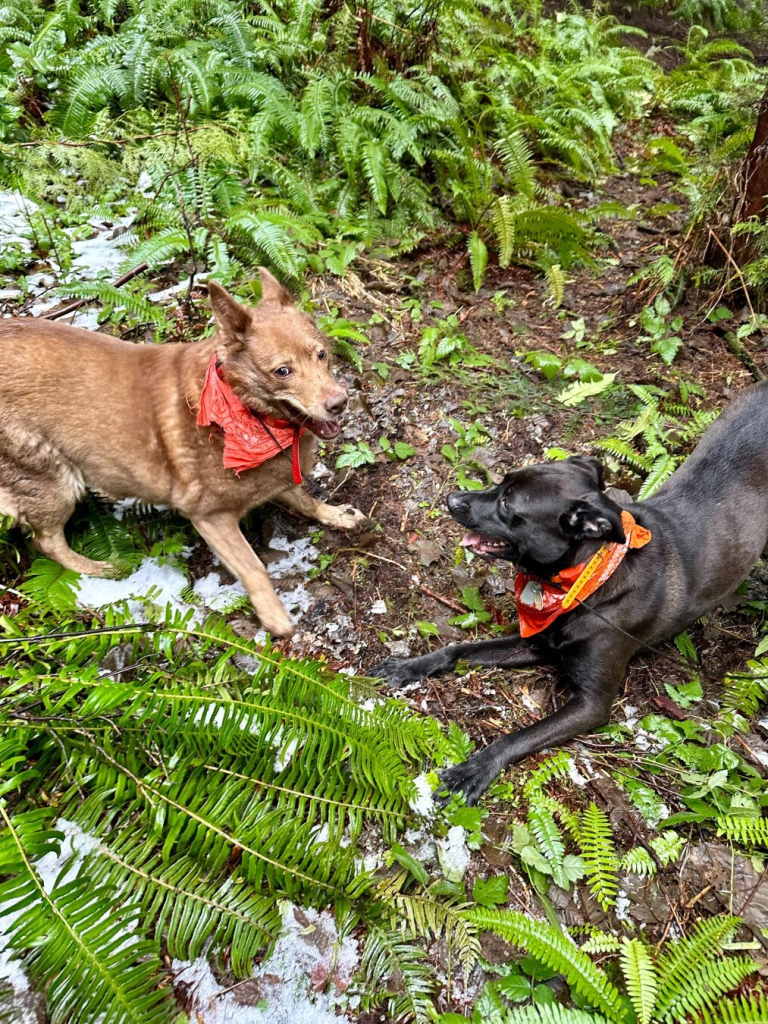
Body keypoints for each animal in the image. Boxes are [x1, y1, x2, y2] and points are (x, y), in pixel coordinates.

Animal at [0, 268, 368, 634]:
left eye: (321, 354)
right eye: (282, 371)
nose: (340, 403)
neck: (245, 412)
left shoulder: (276, 476)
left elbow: (304, 498)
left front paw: (334, 514)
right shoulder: (210, 518)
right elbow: (254, 568)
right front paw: (273, 616)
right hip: (56, 484)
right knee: (45, 541)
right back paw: (100, 568)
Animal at [376, 380, 768, 802]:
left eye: (507, 504)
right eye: (500, 483)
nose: (451, 498)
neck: (581, 584)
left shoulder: (591, 705)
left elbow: (516, 736)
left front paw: (474, 769)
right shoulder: (534, 642)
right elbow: (458, 650)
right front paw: (408, 666)